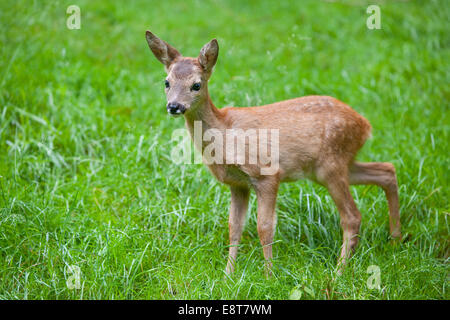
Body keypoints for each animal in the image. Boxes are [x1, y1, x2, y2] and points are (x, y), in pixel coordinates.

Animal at [146, 31, 402, 276]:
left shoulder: (267, 173)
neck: (225, 132)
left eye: (197, 85)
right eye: (166, 82)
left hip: (331, 164)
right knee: (387, 170)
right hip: (335, 164)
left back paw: (339, 271)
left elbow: (265, 227)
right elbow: (234, 227)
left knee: (352, 216)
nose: (174, 106)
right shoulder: (237, 184)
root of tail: (365, 125)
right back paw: (395, 241)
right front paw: (228, 274)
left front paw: (269, 275)